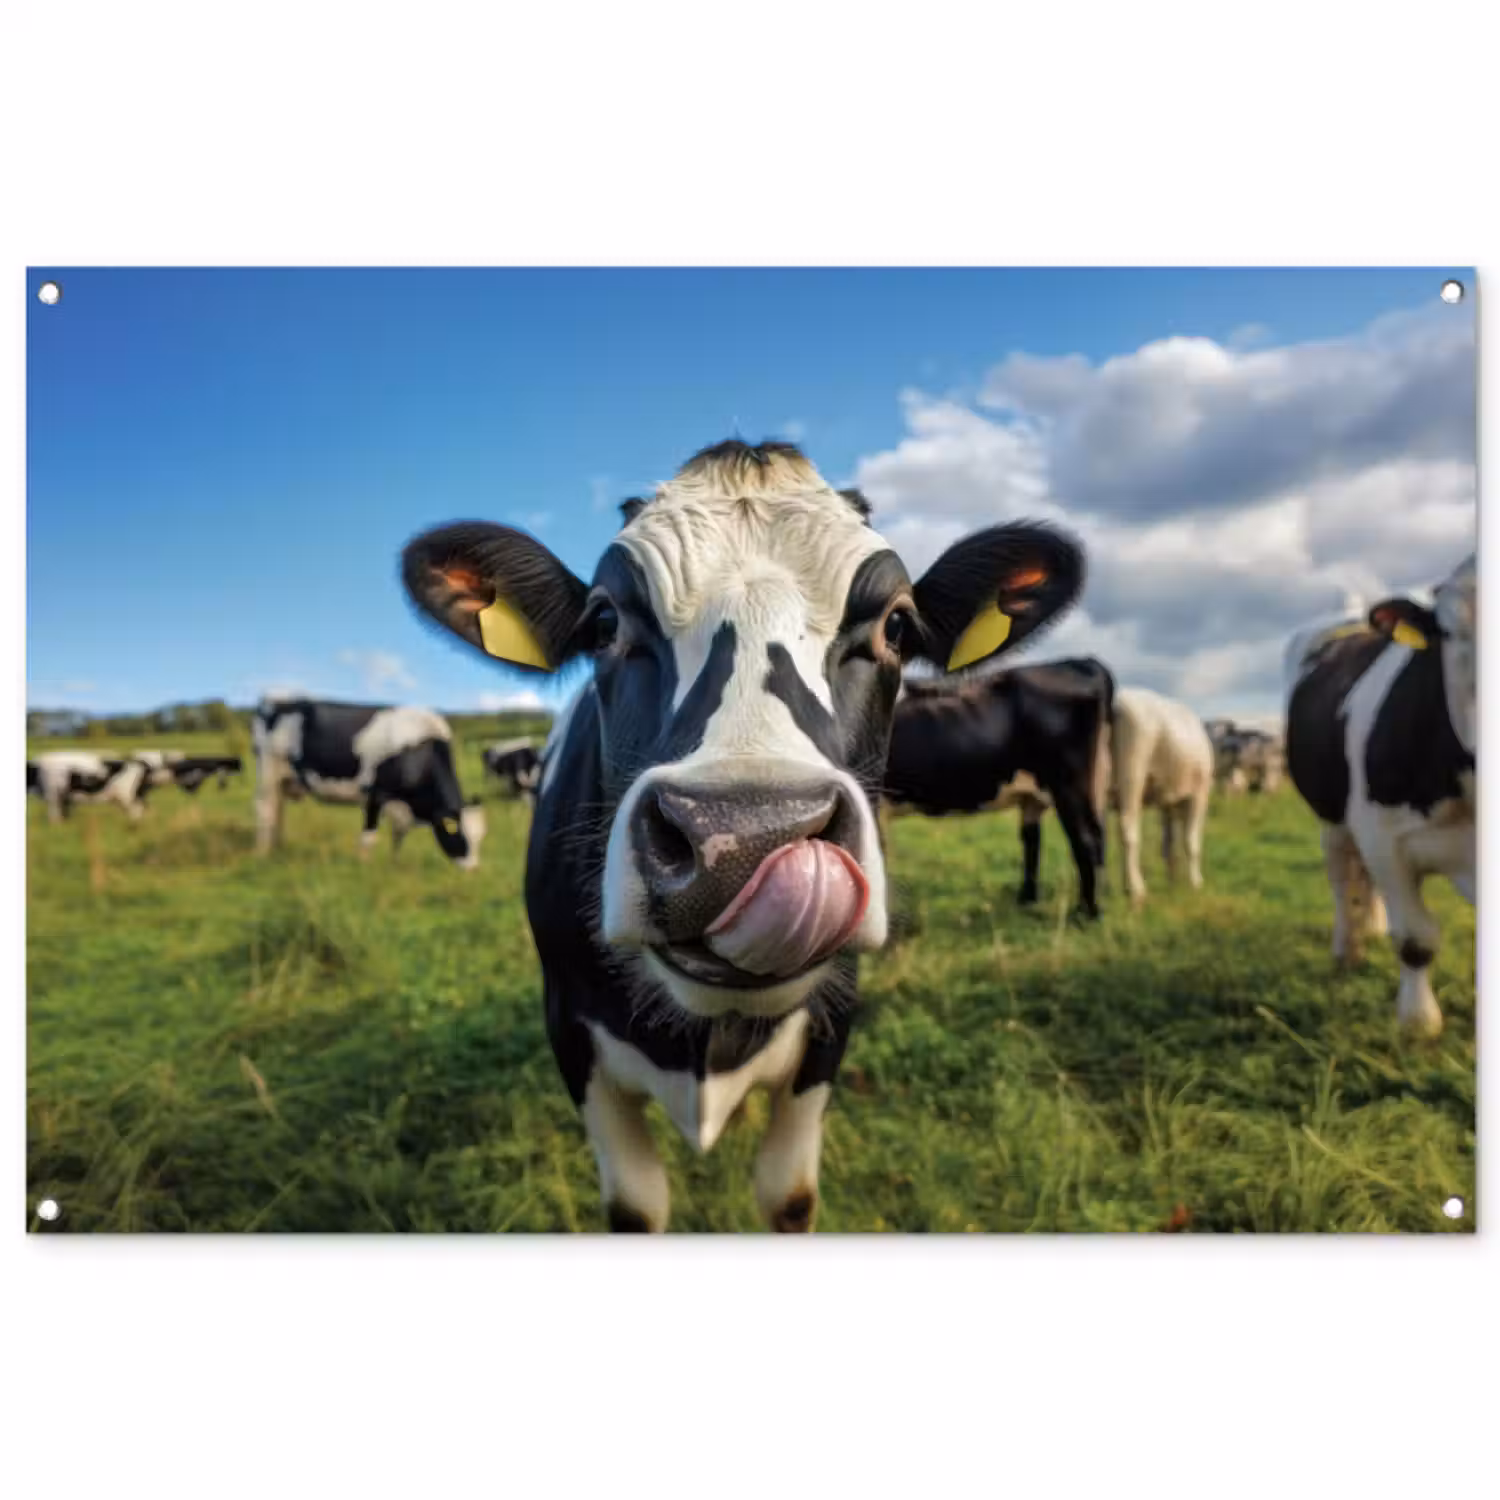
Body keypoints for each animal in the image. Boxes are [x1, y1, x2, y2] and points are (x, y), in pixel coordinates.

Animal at [252, 697, 487, 868]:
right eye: (457, 834)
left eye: (480, 837)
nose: (472, 870)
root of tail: (275, 700)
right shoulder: (376, 794)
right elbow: (369, 837)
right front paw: (364, 867)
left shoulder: (401, 806)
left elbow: (398, 837)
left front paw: (394, 864)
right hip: (267, 774)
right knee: (265, 812)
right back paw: (262, 854)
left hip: (283, 781)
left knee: (278, 813)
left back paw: (278, 848)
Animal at [401, 438, 1085, 1231]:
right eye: (604, 623)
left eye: (897, 625)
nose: (743, 839)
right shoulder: (570, 1032)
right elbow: (635, 1205)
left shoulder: (831, 1027)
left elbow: (788, 1195)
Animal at [881, 657, 1115, 917]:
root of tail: (1081, 662)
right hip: (1075, 787)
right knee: (1047, 839)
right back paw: (1030, 901)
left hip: (1068, 783)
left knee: (1085, 840)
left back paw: (1085, 913)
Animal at [1110, 687, 1215, 905]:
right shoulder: (1199, 795)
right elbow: (1191, 841)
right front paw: (1195, 883)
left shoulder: (1166, 802)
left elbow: (1168, 843)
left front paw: (1172, 881)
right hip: (1132, 772)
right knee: (1128, 828)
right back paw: (1136, 890)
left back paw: (1123, 887)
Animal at [1284, 554, 1476, 1037]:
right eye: (1450, 632)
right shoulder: (1385, 839)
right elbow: (1415, 938)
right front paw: (1418, 1023)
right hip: (1333, 816)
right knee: (1341, 878)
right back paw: (1348, 946)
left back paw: (1368, 927)